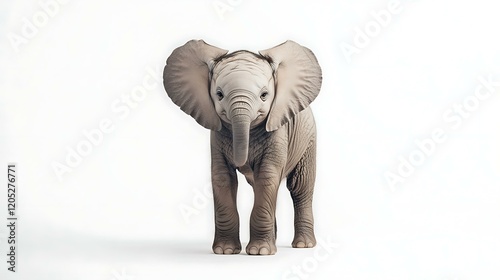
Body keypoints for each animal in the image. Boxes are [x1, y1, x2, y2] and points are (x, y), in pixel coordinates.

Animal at [162, 39, 322, 256]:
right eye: (219, 94)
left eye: (264, 95)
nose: (242, 162)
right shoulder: (217, 134)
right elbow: (223, 177)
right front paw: (225, 251)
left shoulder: (278, 130)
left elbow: (267, 176)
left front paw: (260, 252)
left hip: (309, 137)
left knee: (300, 187)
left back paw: (303, 246)